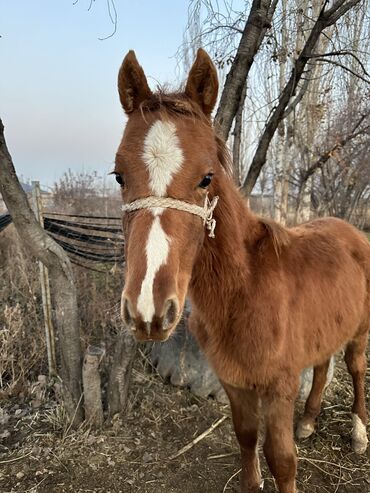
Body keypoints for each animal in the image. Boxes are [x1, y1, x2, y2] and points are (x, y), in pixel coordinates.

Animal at [114, 47, 368, 492]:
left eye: (206, 178)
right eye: (118, 176)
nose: (148, 311)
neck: (245, 290)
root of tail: (349, 230)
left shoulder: (280, 388)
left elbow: (281, 459)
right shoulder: (233, 382)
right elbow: (247, 439)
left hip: (360, 332)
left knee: (355, 370)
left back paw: (358, 433)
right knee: (322, 366)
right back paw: (308, 421)